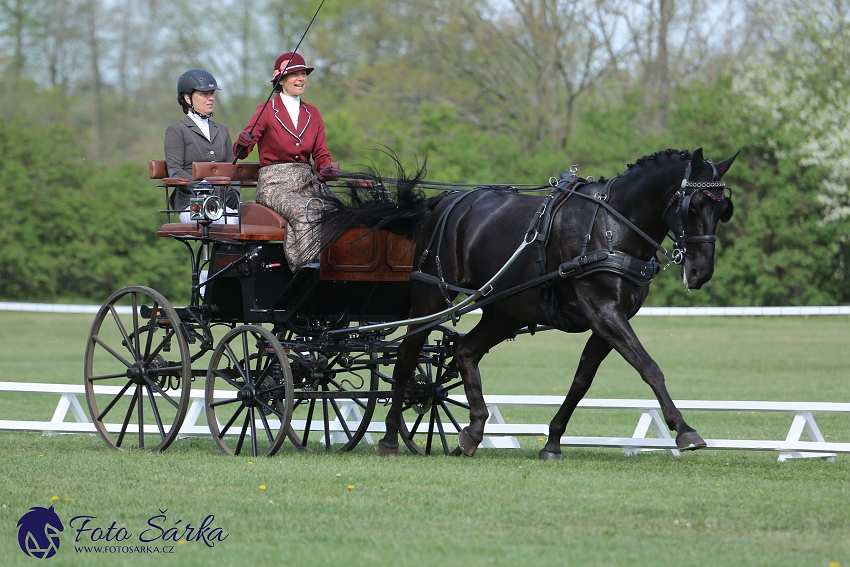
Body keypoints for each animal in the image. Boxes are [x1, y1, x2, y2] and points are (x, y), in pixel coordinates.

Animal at [322, 148, 732, 462]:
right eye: (694, 206)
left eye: (722, 208)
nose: (700, 273)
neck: (612, 225)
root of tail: (445, 201)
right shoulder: (604, 313)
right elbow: (649, 368)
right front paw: (684, 430)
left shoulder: (606, 322)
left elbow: (581, 381)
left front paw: (552, 442)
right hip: (430, 295)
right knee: (408, 358)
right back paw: (391, 438)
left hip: (504, 310)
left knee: (465, 350)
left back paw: (473, 430)